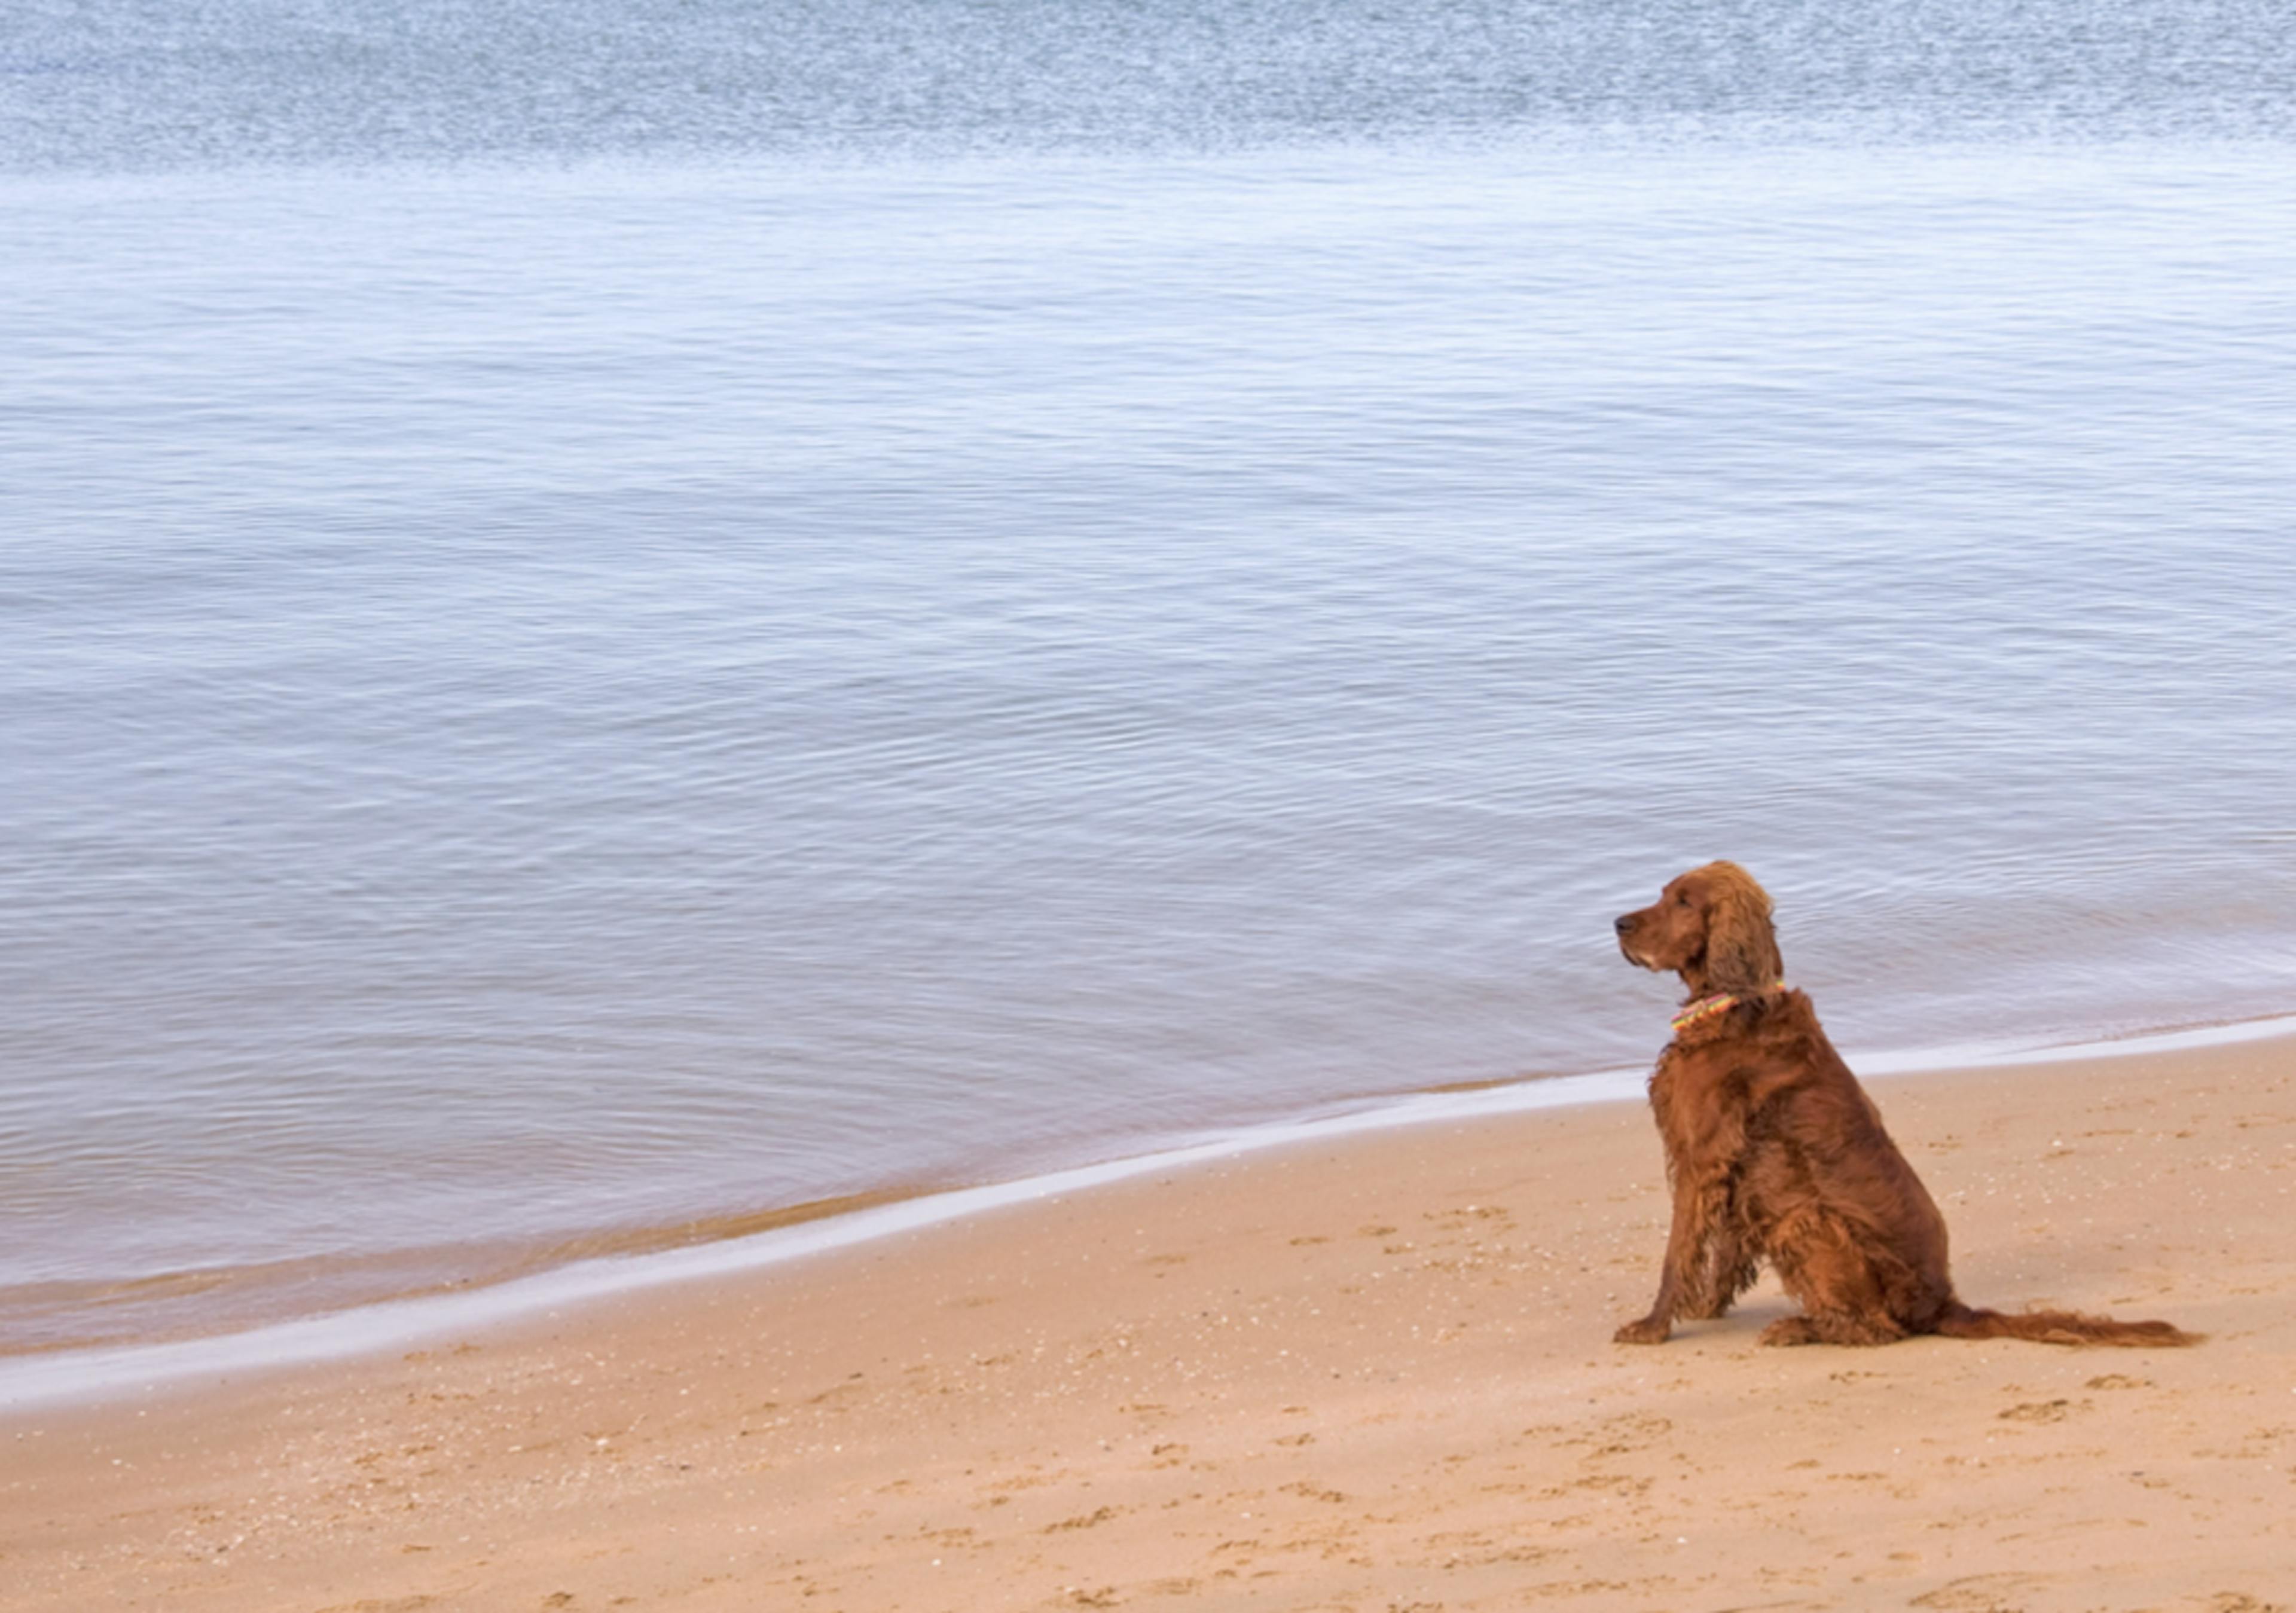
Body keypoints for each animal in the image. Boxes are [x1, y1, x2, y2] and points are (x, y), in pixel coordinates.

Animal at [1607, 858, 2195, 1349]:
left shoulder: (1702, 1157)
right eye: (1664, 894)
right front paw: (1705, 1307)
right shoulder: (1735, 1169)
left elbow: (1677, 1253)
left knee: (1878, 1330)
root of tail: (1944, 1304)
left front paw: (1653, 1326)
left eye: (1685, 902)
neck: (1737, 1007)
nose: (1619, 924)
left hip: (1808, 1219)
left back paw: (1802, 1327)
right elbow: (1723, 1248)